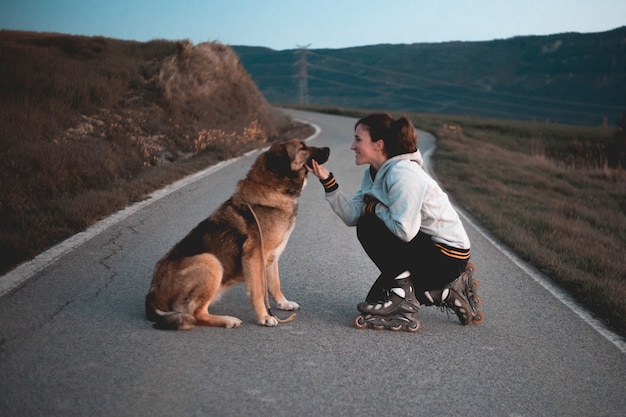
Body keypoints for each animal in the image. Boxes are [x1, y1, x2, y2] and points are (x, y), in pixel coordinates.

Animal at [144, 139, 330, 328]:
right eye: (302, 148)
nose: (328, 149)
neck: (273, 188)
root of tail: (151, 296)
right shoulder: (255, 256)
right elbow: (258, 291)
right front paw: (264, 317)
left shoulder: (272, 257)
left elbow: (275, 284)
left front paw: (283, 303)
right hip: (211, 261)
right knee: (197, 314)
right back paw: (228, 320)